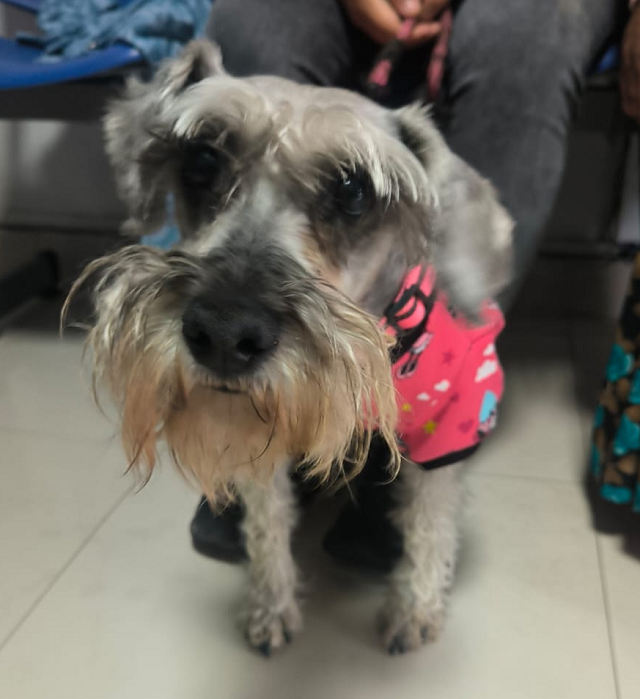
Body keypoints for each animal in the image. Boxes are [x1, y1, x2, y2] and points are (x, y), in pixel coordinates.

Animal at [64, 40, 512, 656]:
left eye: (353, 191)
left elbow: (430, 524)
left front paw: (414, 607)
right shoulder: (261, 434)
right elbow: (267, 521)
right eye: (201, 162)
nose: (225, 334)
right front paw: (270, 606)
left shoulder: (448, 425)